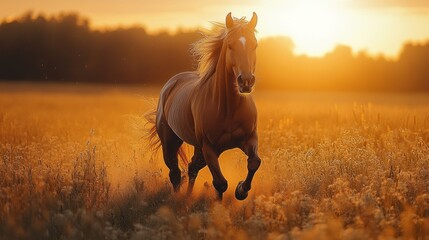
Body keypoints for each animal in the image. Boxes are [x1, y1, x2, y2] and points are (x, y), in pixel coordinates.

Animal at [147, 12, 260, 201]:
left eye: (255, 45)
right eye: (230, 45)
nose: (246, 81)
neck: (228, 108)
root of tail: (170, 85)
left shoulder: (249, 138)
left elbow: (254, 162)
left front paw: (241, 190)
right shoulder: (209, 148)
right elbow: (220, 183)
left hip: (197, 149)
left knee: (192, 168)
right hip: (170, 142)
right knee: (175, 173)